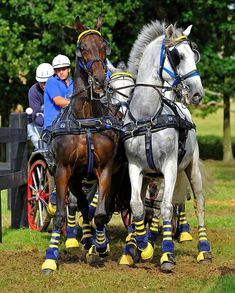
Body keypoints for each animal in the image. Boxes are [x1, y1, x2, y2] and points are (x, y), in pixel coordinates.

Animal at [41, 15, 118, 272]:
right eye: (82, 48)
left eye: (104, 46)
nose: (100, 80)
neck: (85, 120)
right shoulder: (63, 170)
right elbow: (60, 216)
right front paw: (50, 258)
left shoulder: (105, 169)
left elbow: (101, 213)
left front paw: (100, 247)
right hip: (74, 178)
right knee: (80, 205)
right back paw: (83, 241)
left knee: (88, 208)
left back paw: (90, 244)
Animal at [120, 20, 212, 272]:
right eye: (178, 55)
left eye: (194, 54)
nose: (197, 93)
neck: (147, 117)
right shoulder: (134, 167)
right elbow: (137, 206)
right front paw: (142, 248)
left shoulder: (170, 166)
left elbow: (167, 208)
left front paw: (167, 255)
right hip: (152, 177)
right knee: (148, 205)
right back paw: (137, 245)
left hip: (191, 169)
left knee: (198, 203)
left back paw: (204, 250)